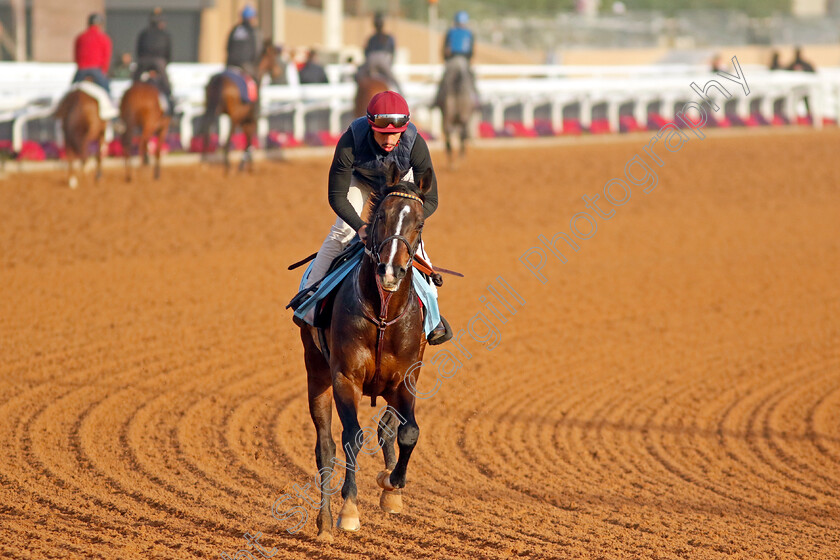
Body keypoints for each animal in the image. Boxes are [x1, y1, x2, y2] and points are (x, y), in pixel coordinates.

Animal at [201, 40, 286, 173]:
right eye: (274, 56)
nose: (279, 72)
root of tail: (220, 79)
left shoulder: (245, 120)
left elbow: (248, 142)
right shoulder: (251, 120)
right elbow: (249, 142)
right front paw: (245, 166)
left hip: (211, 110)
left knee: (207, 131)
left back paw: (205, 163)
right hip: (234, 118)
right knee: (227, 141)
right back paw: (228, 167)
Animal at [302, 162, 434, 544]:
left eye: (419, 223)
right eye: (382, 217)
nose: (390, 271)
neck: (384, 312)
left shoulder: (406, 378)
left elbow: (408, 431)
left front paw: (393, 484)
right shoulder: (345, 377)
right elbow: (351, 438)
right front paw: (348, 510)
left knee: (389, 425)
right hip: (315, 371)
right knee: (325, 447)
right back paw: (325, 524)